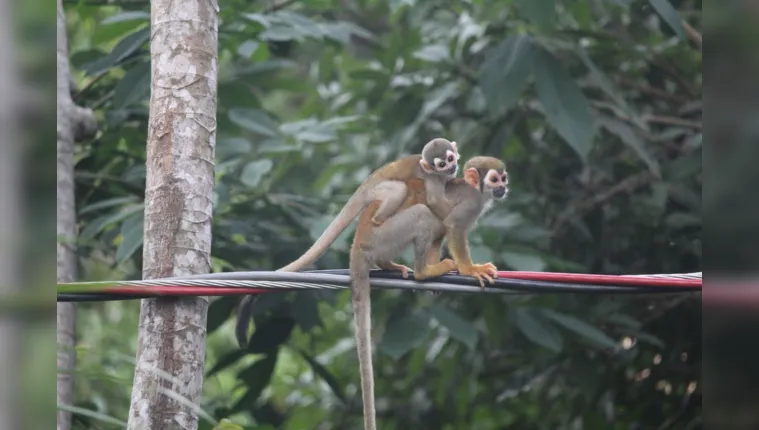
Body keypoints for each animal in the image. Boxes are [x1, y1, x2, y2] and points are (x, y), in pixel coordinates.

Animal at [350, 155, 510, 430]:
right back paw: (423, 272)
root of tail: (358, 242)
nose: (502, 187)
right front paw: (470, 269)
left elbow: (443, 231)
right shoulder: (470, 204)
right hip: (383, 235)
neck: (478, 192)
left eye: (503, 178)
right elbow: (452, 226)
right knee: (424, 215)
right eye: (494, 179)